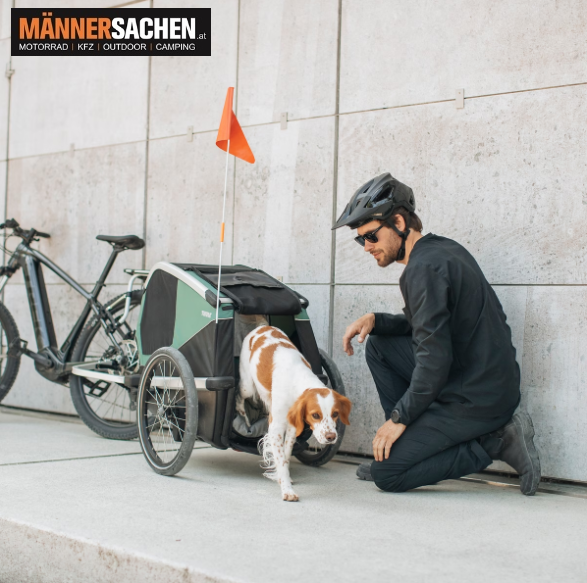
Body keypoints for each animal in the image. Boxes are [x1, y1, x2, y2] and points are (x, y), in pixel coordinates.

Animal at [236, 325, 352, 501]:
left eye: (335, 414)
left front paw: (282, 477)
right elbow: (280, 459)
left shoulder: (292, 426)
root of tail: (263, 326)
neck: (296, 378)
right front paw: (287, 490)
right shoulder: (276, 428)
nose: (331, 437)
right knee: (239, 397)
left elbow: (286, 454)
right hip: (247, 386)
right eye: (315, 415)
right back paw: (244, 416)